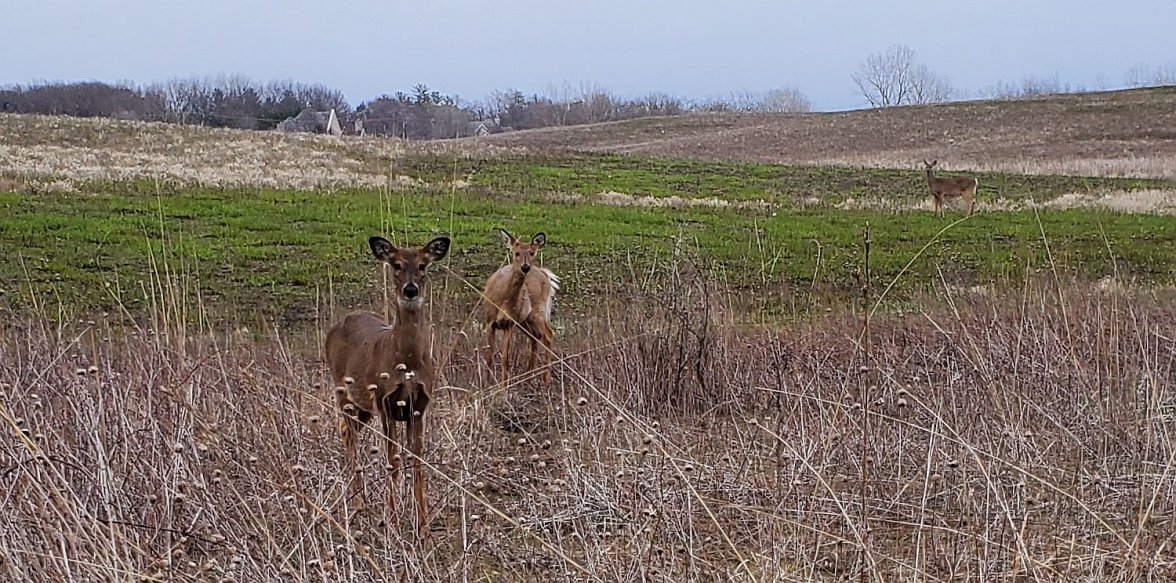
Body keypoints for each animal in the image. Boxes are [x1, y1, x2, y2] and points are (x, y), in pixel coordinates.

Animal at [325, 234, 450, 535]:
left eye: (422, 265)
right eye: (396, 264)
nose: (410, 290)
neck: (407, 364)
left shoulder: (419, 405)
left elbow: (416, 460)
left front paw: (423, 525)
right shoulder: (385, 402)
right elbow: (392, 460)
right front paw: (391, 520)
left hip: (363, 406)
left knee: (346, 430)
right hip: (344, 392)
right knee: (348, 434)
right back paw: (357, 503)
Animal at [481, 229, 559, 385]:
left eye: (532, 253)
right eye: (516, 253)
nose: (525, 267)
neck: (502, 301)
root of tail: (544, 273)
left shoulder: (509, 323)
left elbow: (505, 359)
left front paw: (503, 387)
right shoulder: (490, 321)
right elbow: (490, 357)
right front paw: (486, 385)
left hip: (537, 311)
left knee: (548, 334)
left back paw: (545, 380)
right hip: (525, 320)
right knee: (536, 336)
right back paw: (527, 377)